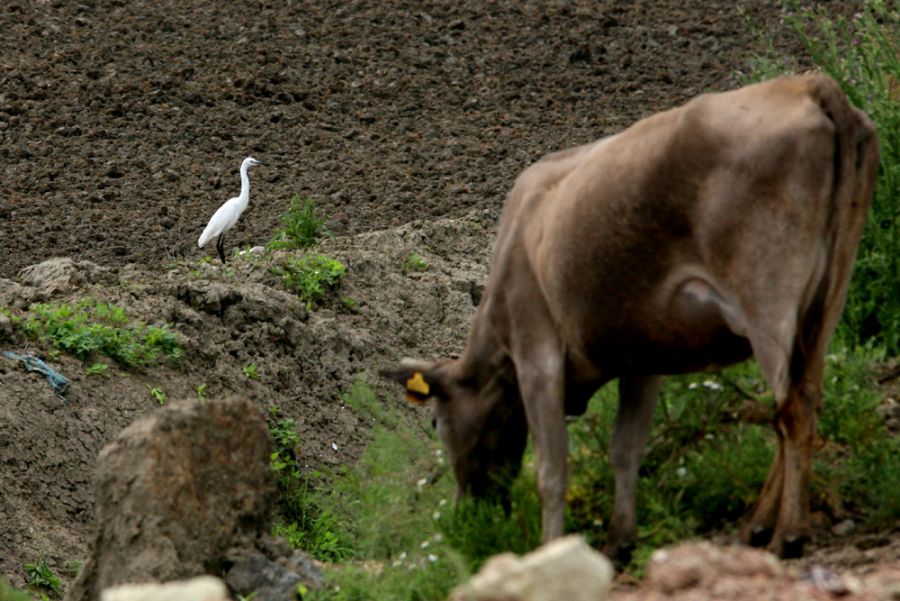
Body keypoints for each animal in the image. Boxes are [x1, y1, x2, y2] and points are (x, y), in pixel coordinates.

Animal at [382, 74, 880, 564]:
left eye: (436, 423)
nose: (469, 511)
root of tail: (808, 84)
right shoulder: (643, 354)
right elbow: (626, 447)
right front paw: (619, 542)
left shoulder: (537, 352)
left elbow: (551, 470)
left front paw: (551, 549)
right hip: (827, 297)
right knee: (806, 396)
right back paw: (758, 524)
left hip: (767, 298)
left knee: (790, 408)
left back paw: (787, 534)